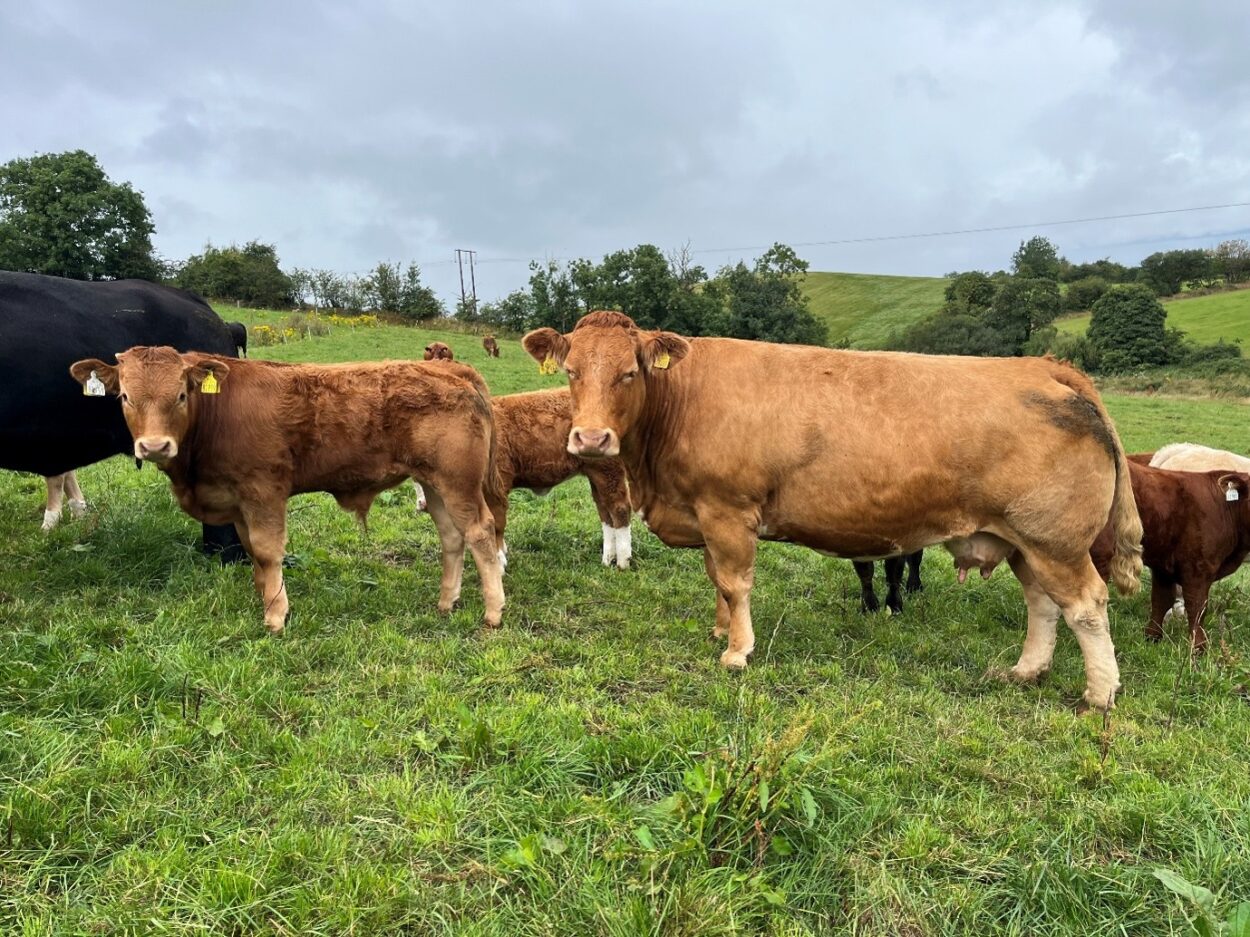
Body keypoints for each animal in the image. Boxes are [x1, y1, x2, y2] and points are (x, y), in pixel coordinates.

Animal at [69, 347, 505, 633]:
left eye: (180, 395)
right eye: (125, 397)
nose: (155, 446)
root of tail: (454, 372)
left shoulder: (263, 491)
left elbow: (267, 551)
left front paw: (276, 614)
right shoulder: (238, 503)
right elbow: (253, 556)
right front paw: (265, 596)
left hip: (459, 483)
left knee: (481, 534)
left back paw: (493, 612)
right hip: (434, 483)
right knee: (452, 537)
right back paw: (446, 602)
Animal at [413, 387, 633, 568]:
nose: (422, 505)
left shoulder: (497, 486)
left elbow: (497, 523)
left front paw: (499, 561)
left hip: (609, 469)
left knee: (619, 508)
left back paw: (623, 561)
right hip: (596, 473)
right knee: (604, 510)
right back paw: (608, 558)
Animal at [523, 311, 1142, 710]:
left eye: (629, 372)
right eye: (572, 372)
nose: (592, 439)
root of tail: (1041, 365)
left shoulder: (727, 510)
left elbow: (735, 581)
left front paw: (737, 650)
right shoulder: (704, 512)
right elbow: (716, 579)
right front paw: (720, 630)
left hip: (1056, 541)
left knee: (1086, 607)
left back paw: (1100, 693)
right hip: (1024, 541)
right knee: (1043, 604)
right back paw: (1026, 670)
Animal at [1091, 461, 1250, 653]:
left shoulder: (1163, 566)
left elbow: (1161, 600)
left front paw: (1152, 637)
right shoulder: (1198, 567)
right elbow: (1197, 607)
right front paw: (1199, 648)